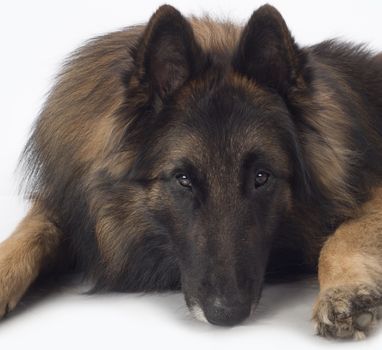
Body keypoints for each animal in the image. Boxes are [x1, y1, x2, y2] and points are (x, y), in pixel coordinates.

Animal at [0, 3, 382, 340]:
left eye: (262, 177)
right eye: (183, 179)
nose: (227, 314)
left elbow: (343, 236)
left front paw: (342, 292)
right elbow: (31, 231)